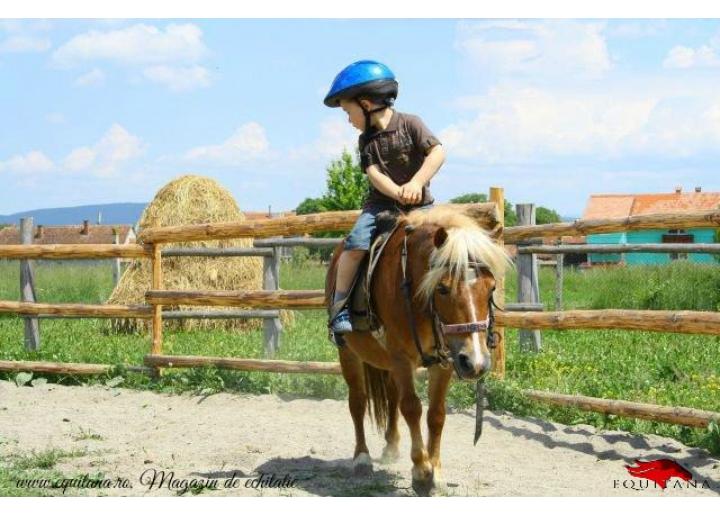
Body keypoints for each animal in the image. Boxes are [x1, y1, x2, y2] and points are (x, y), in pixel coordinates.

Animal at [326, 203, 512, 492]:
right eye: (443, 288)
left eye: (491, 288)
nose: (476, 363)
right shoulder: (402, 357)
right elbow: (412, 407)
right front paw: (422, 470)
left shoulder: (446, 360)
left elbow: (436, 414)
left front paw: (437, 471)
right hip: (348, 352)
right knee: (358, 401)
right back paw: (361, 459)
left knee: (392, 397)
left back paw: (391, 447)